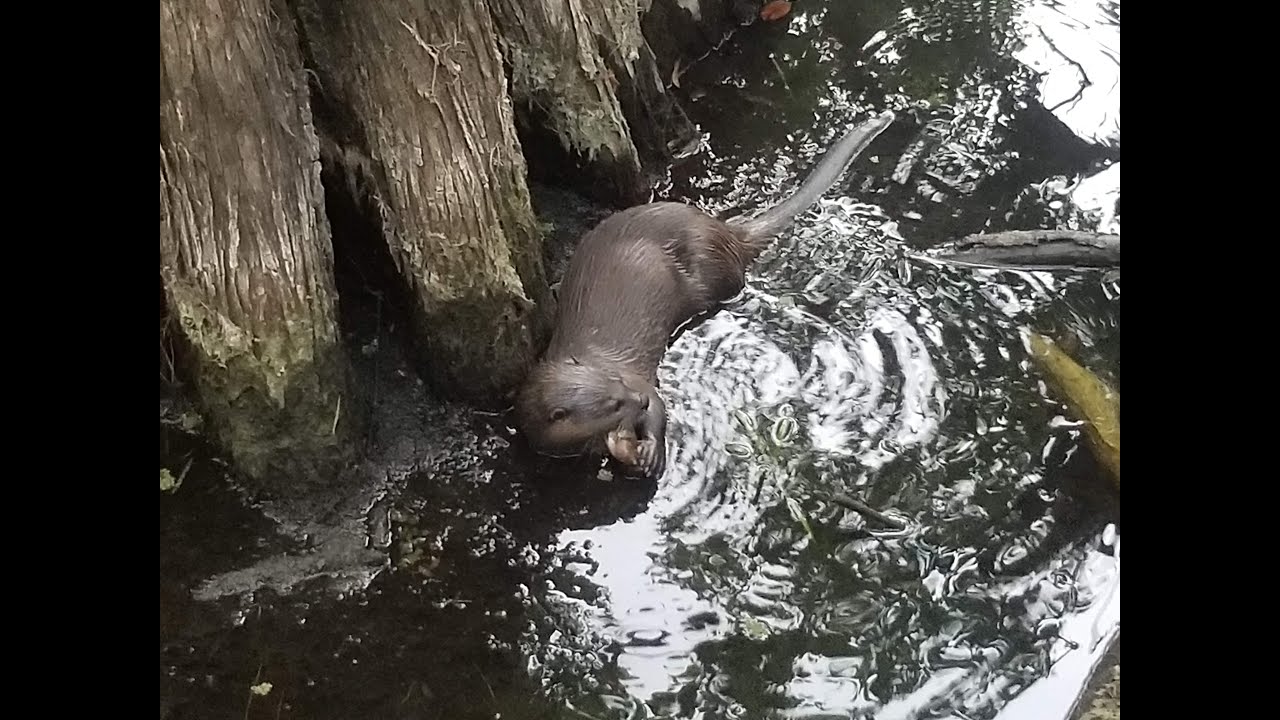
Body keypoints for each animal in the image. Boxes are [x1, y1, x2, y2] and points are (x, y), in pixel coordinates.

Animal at [516, 110, 897, 479]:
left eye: (617, 382)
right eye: (612, 404)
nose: (637, 400)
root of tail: (723, 232)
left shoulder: (638, 379)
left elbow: (659, 405)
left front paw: (653, 451)